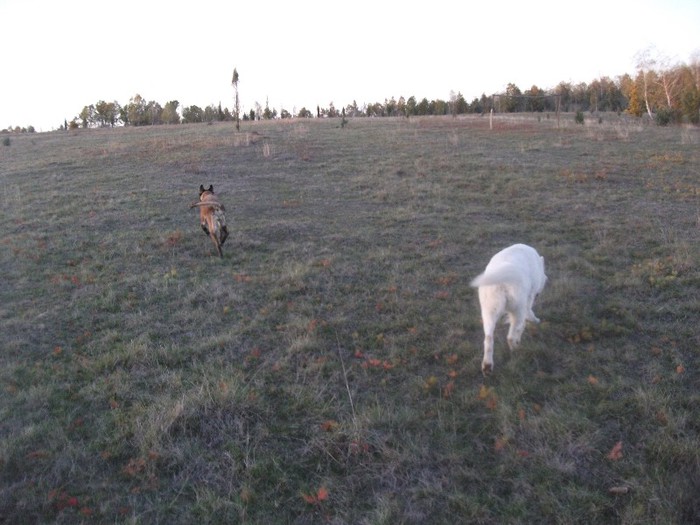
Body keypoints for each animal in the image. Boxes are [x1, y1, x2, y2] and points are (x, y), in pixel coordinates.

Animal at [470, 244, 546, 373]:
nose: (545, 279)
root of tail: (501, 281)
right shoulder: (528, 299)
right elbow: (528, 315)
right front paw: (535, 321)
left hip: (488, 313)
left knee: (488, 339)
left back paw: (487, 365)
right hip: (517, 310)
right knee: (510, 337)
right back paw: (516, 349)